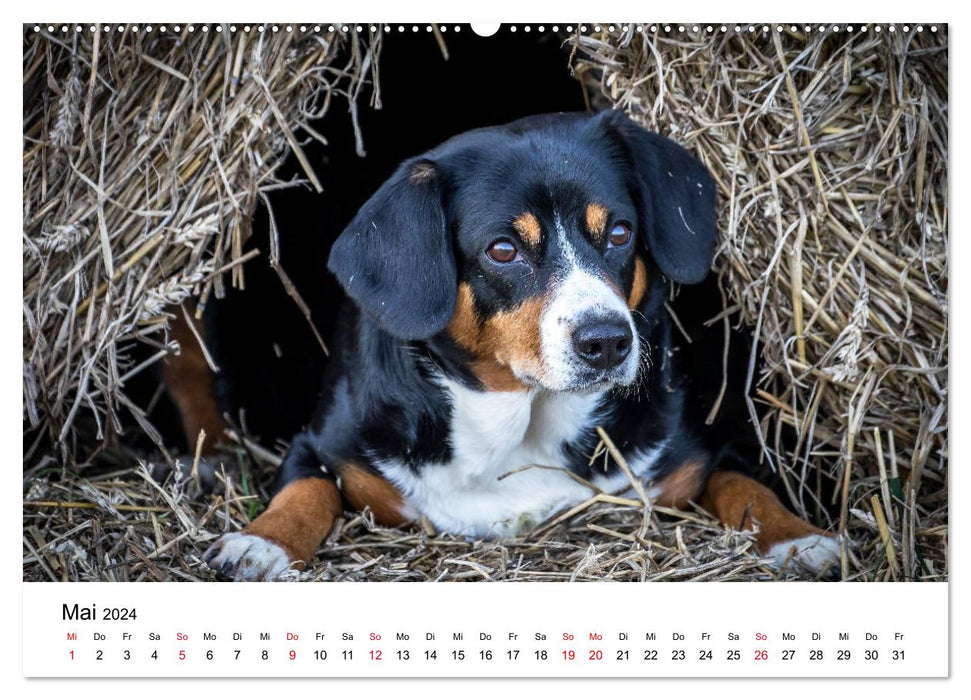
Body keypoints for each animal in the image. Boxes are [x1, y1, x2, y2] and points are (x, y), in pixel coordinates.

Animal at [196, 109, 836, 580]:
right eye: (503, 250)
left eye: (620, 232)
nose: (607, 341)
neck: (518, 425)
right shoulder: (322, 446)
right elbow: (304, 490)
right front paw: (261, 543)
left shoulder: (701, 451)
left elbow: (746, 485)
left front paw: (802, 538)